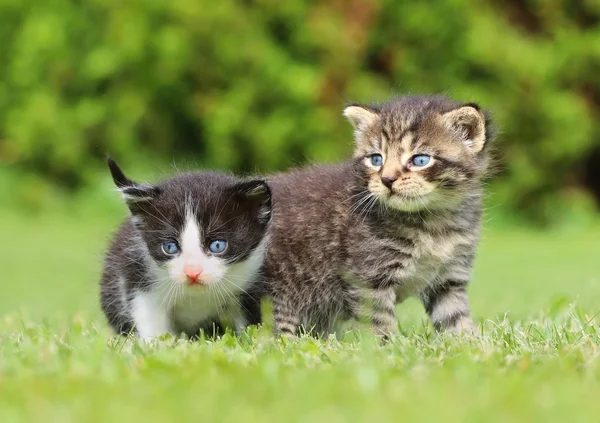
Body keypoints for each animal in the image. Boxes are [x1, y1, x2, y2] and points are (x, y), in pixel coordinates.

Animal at [101, 159, 272, 342]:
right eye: (170, 247)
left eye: (217, 245)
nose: (192, 272)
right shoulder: (138, 274)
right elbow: (149, 316)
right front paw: (155, 345)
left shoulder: (249, 280)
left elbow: (248, 321)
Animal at [264, 95, 494, 338]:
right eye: (376, 159)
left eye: (420, 160)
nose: (387, 179)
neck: (433, 221)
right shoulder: (369, 278)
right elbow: (379, 322)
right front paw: (387, 346)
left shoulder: (450, 279)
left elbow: (456, 319)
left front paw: (470, 343)